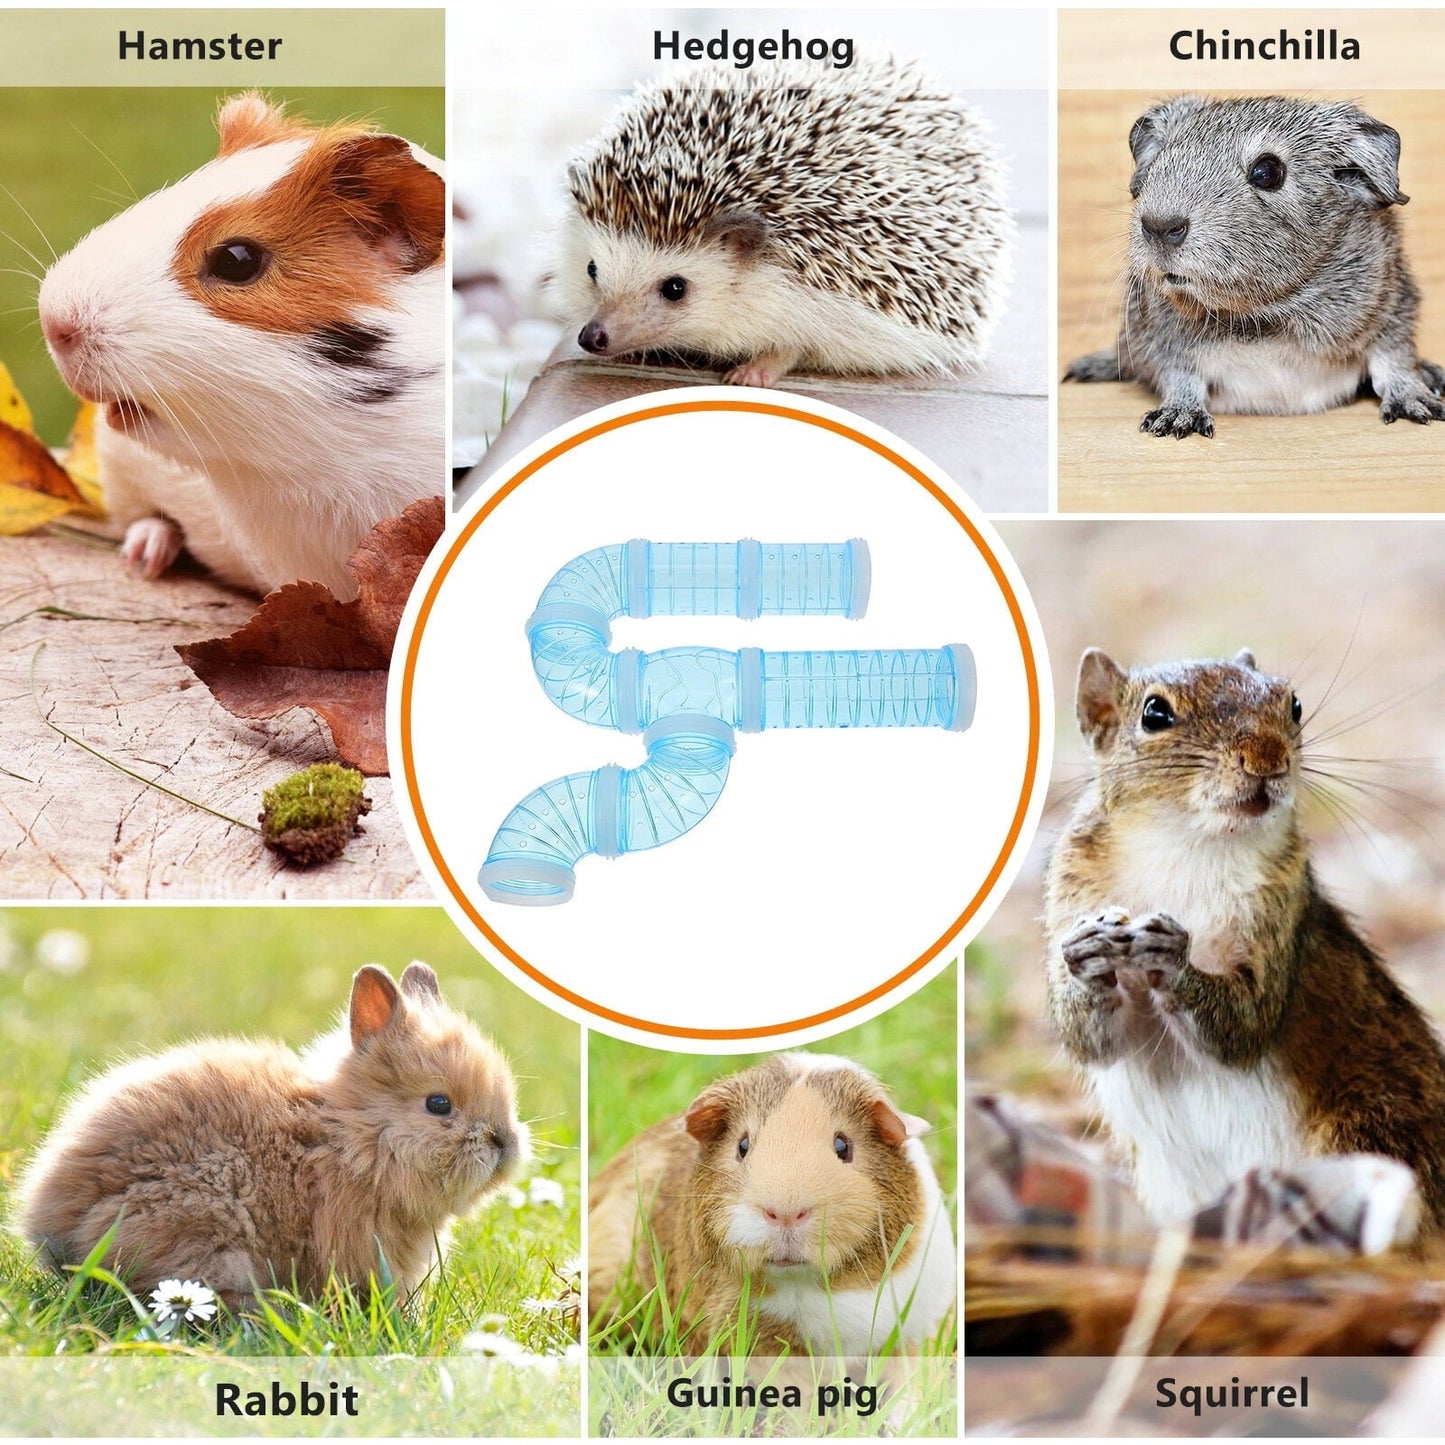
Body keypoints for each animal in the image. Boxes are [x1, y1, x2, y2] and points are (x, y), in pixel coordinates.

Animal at [1044, 648, 1445, 1227]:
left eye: (1293, 704)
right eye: (1154, 715)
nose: (1267, 757)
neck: (1188, 844)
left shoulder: (1282, 910)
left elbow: (1245, 1024)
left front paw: (1173, 958)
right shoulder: (1070, 891)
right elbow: (1088, 1038)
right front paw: (1086, 957)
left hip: (1373, 1130)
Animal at [1065, 95, 1445, 437]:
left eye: (1267, 171)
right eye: (1160, 159)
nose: (1159, 226)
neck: (1262, 316)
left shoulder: (1393, 308)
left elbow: (1393, 361)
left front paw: (1419, 405)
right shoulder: (1162, 340)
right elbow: (1180, 376)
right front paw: (1175, 420)